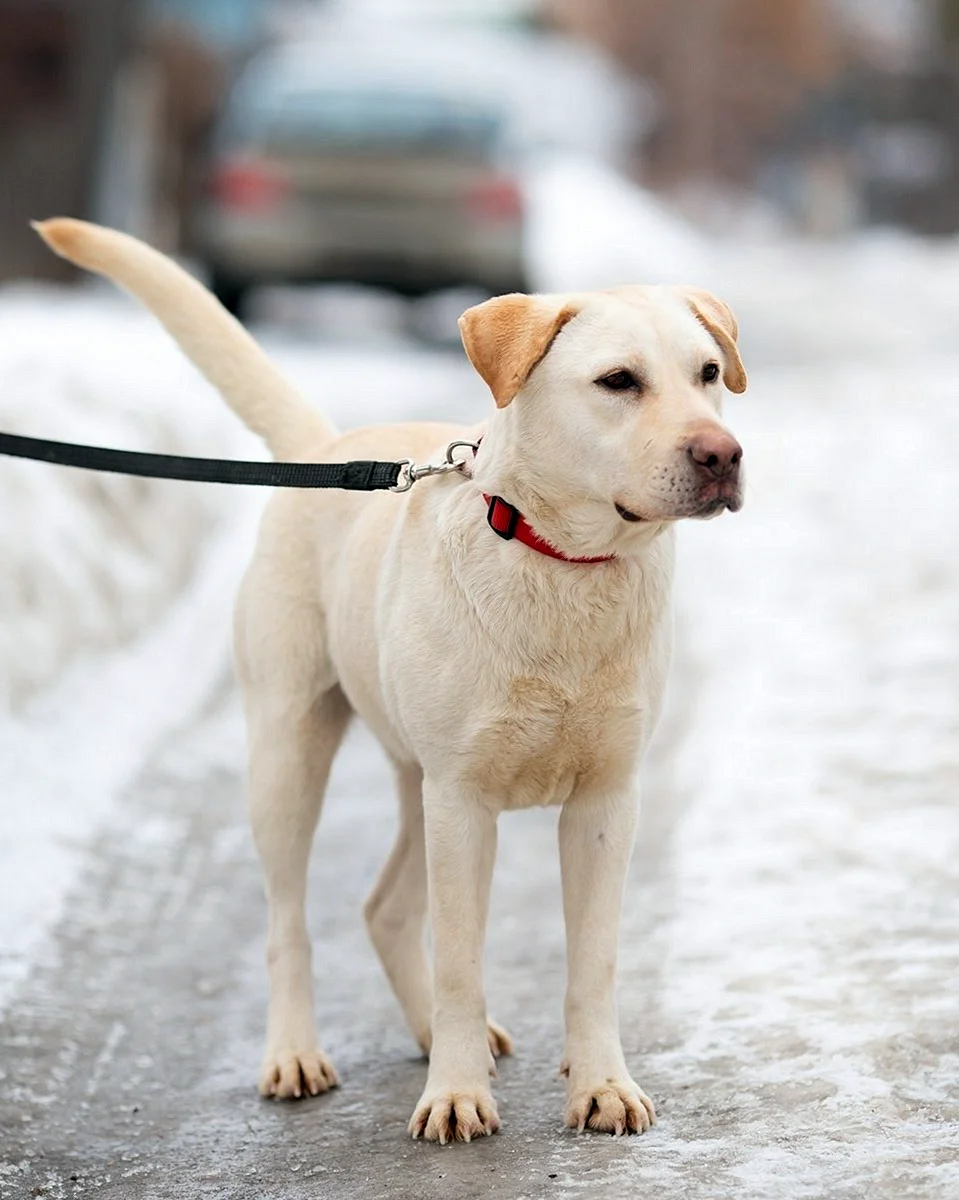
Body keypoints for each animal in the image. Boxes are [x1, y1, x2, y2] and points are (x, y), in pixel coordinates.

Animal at [35, 220, 744, 1147]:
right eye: (617, 381)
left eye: (708, 373)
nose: (722, 455)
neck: (563, 564)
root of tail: (323, 449)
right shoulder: (464, 802)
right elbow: (460, 964)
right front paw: (456, 1095)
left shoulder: (604, 800)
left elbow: (593, 962)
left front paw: (600, 1085)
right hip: (292, 756)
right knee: (289, 920)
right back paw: (298, 1054)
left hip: (417, 780)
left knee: (384, 907)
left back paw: (439, 1035)